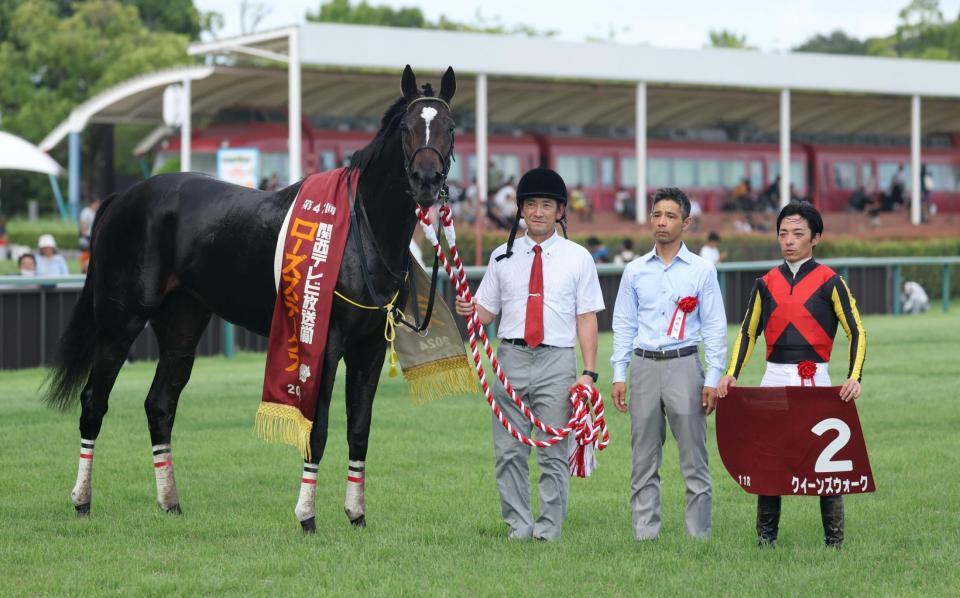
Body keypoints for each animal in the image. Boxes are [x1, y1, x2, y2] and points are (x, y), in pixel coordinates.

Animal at [47, 65, 460, 536]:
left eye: (449, 128)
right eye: (407, 128)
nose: (426, 181)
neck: (362, 231)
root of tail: (123, 198)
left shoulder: (369, 346)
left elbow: (359, 429)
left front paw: (356, 513)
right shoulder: (324, 342)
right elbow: (317, 429)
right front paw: (307, 515)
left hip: (183, 322)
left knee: (160, 405)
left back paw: (170, 503)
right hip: (121, 322)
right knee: (94, 401)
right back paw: (82, 500)